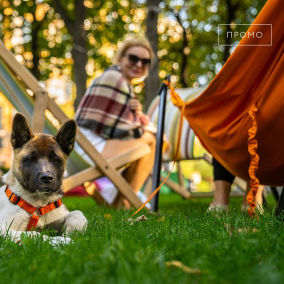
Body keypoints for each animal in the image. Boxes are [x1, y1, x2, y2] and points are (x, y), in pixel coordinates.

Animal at [0, 112, 86, 244]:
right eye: (31, 159)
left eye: (55, 159)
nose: (47, 178)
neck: (38, 205)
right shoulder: (5, 229)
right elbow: (35, 235)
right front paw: (59, 241)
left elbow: (79, 214)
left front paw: (71, 235)